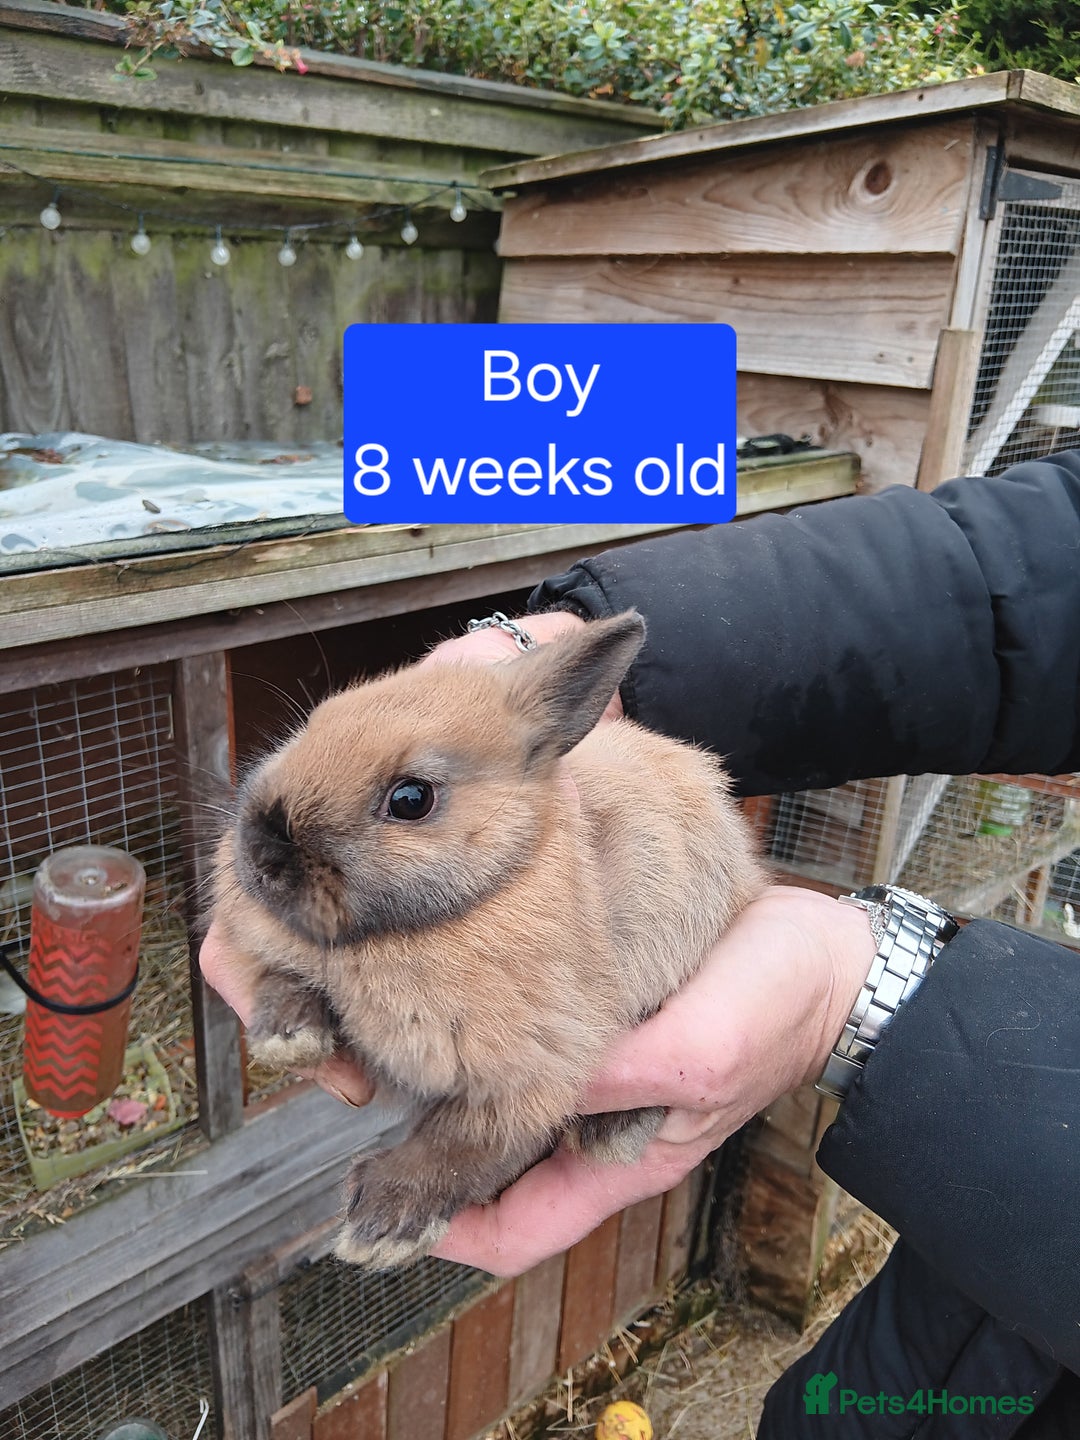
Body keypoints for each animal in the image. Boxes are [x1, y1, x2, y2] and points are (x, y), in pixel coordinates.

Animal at [210, 610, 765, 1269]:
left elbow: (464, 1142)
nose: (261, 856)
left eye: (410, 798)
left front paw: (383, 1224)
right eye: (312, 725)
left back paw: (609, 1133)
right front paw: (288, 1039)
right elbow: (282, 980)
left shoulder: (531, 1067)